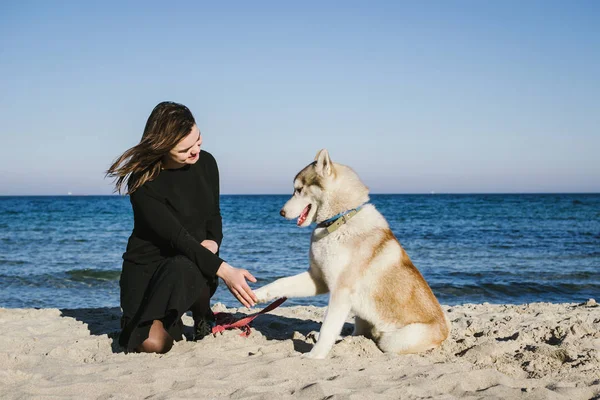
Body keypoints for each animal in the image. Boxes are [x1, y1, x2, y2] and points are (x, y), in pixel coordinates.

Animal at [254, 149, 450, 360]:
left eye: (298, 189)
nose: (281, 213)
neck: (338, 221)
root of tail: (445, 331)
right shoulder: (318, 279)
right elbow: (281, 283)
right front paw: (258, 294)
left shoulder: (340, 292)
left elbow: (327, 328)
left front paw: (315, 356)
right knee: (360, 334)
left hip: (391, 339)